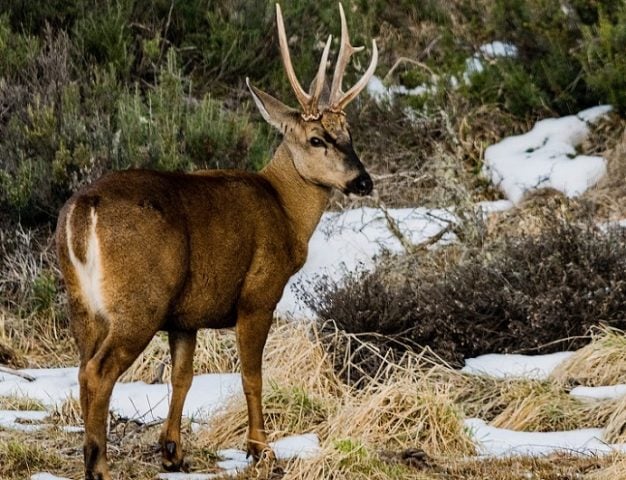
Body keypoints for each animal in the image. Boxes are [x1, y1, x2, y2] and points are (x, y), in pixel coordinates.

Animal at [56, 4, 376, 480]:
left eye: (350, 134)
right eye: (317, 138)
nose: (363, 181)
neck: (285, 208)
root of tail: (84, 209)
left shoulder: (186, 315)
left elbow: (183, 376)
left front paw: (172, 450)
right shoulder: (258, 294)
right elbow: (252, 375)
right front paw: (261, 449)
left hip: (82, 303)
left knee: (81, 369)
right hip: (140, 300)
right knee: (98, 372)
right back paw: (99, 466)